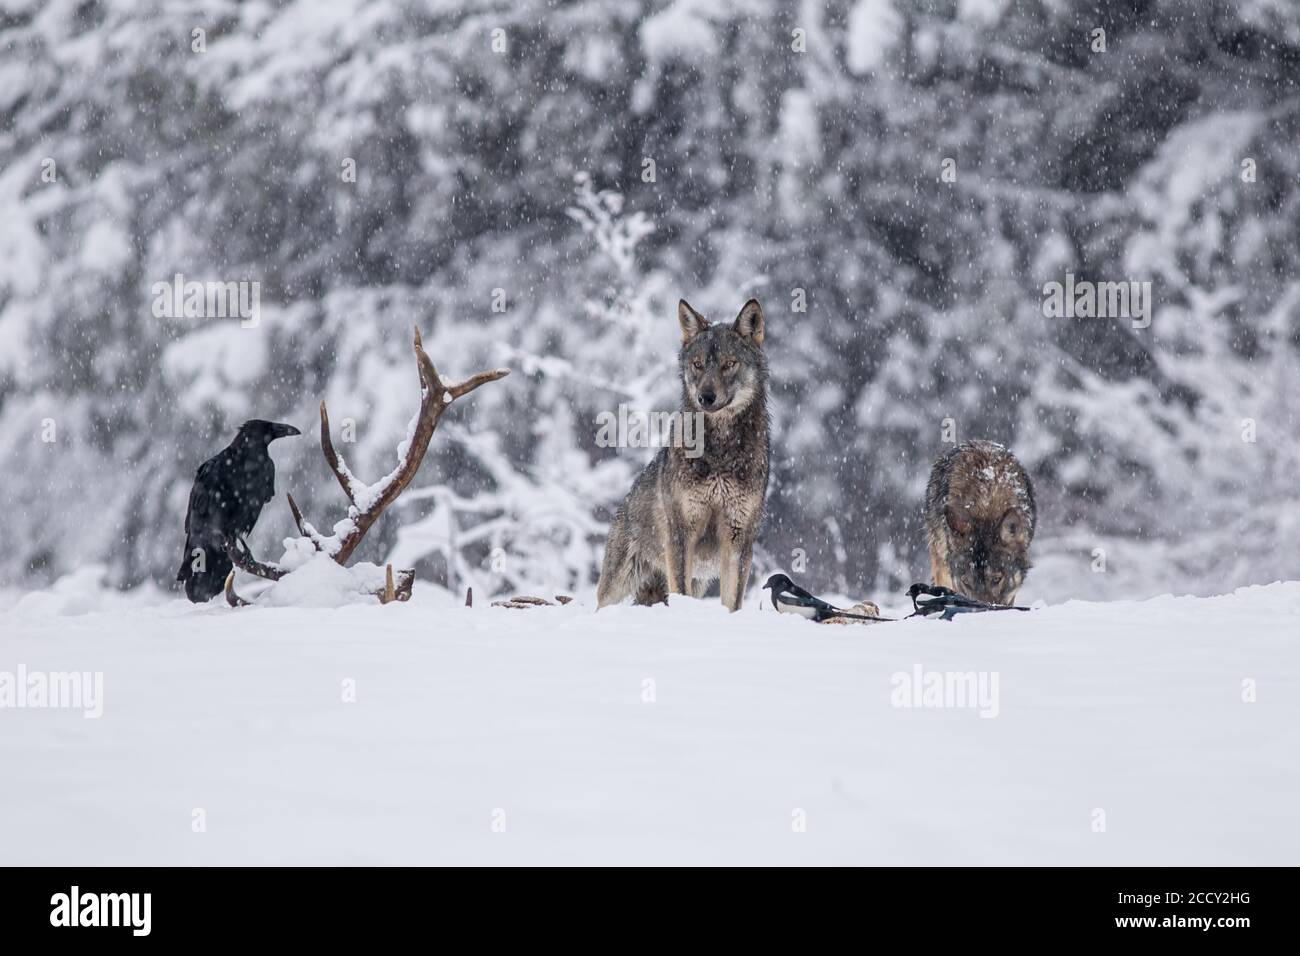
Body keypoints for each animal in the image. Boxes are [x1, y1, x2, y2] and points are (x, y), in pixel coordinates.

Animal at [598, 299, 769, 613]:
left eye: (729, 364)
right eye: (697, 364)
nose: (706, 397)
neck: (720, 449)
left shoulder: (739, 537)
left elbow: (732, 601)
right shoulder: (680, 533)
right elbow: (681, 591)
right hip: (617, 584)